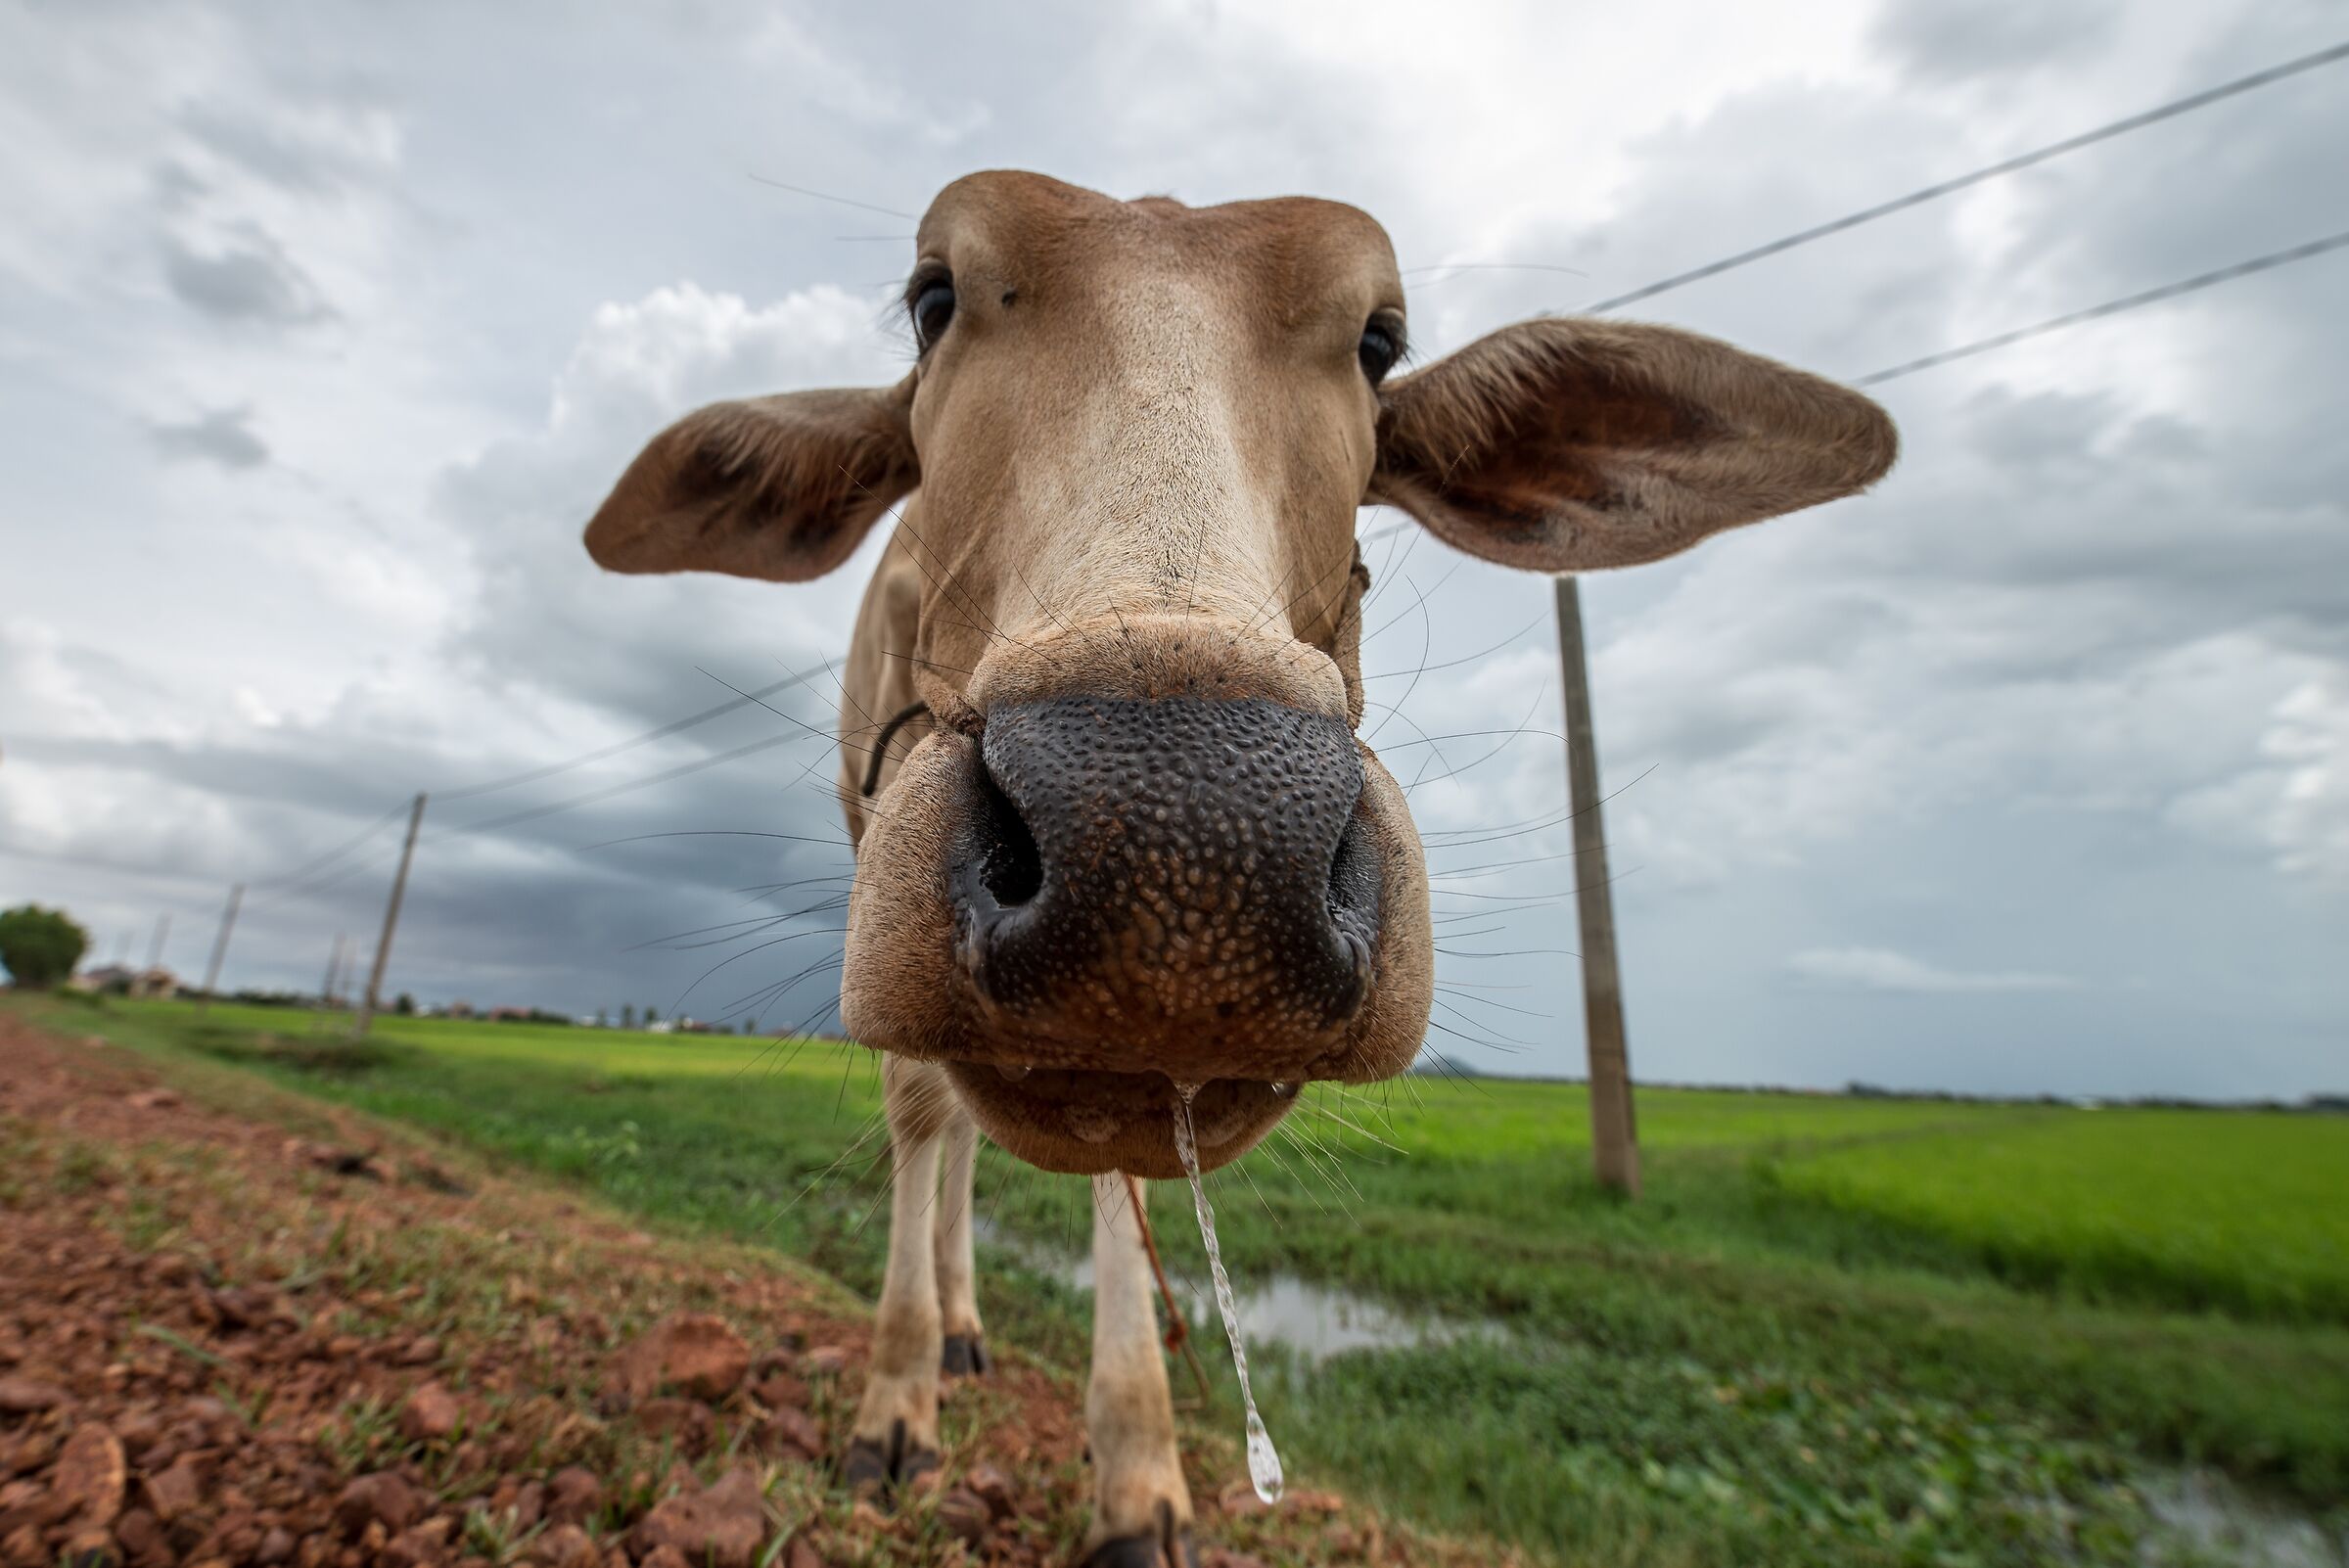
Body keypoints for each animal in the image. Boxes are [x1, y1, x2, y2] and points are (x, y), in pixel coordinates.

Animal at [583, 170, 1896, 1566]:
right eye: (935, 300)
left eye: (1378, 341)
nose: (1185, 847)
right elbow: (921, 1117)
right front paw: (895, 1403)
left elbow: (1117, 1184)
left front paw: (1138, 1468)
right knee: (940, 1121)